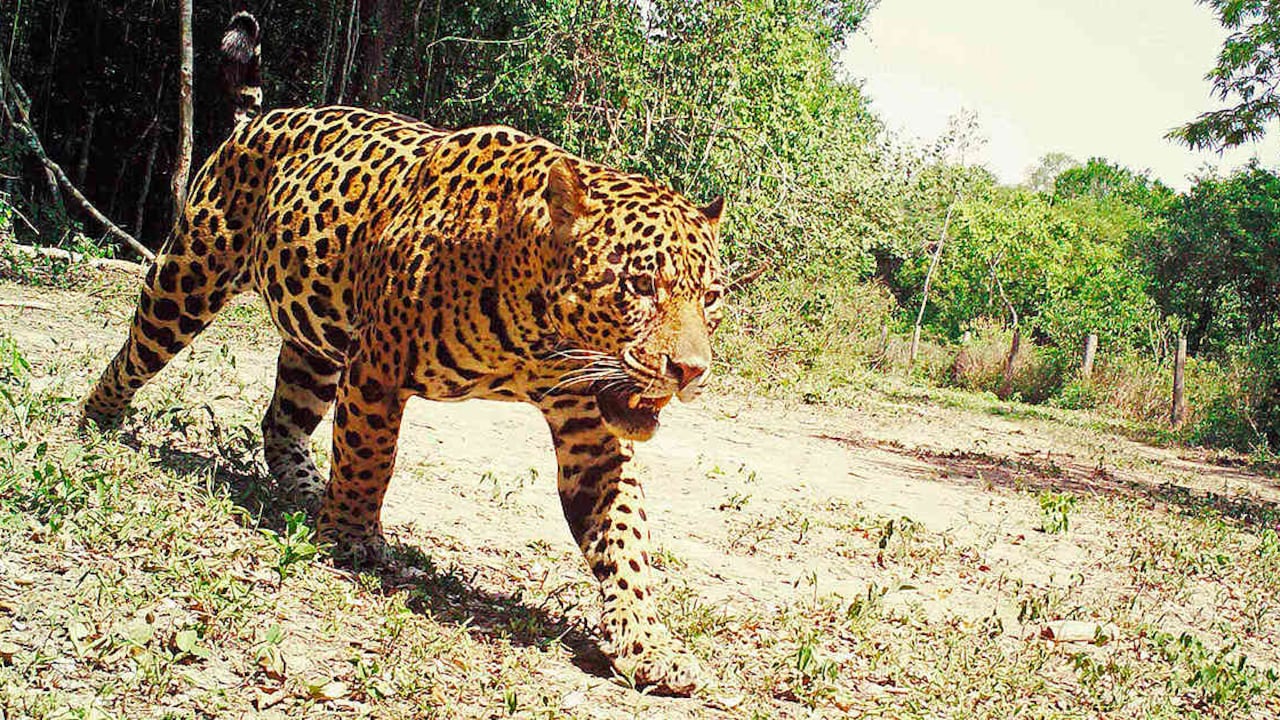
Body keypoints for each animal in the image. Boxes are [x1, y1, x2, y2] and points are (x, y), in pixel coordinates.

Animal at [82, 11, 725, 696]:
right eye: (641, 285)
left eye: (710, 298)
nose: (691, 371)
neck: (535, 334)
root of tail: (258, 120)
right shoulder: (377, 369)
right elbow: (371, 457)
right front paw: (350, 537)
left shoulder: (588, 427)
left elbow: (623, 535)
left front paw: (647, 642)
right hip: (189, 277)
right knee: (138, 349)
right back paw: (96, 421)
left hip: (317, 341)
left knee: (281, 419)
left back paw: (308, 489)